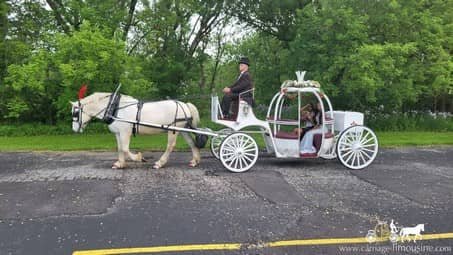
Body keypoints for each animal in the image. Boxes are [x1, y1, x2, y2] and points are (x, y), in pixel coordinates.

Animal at [69, 92, 200, 169]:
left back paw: (159, 163)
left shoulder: (125, 132)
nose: (74, 129)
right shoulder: (118, 133)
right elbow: (120, 148)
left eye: (75, 113)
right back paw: (195, 160)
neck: (115, 108)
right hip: (183, 129)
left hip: (173, 130)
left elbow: (125, 149)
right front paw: (120, 164)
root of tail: (185, 105)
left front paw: (139, 158)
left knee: (170, 146)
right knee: (191, 142)